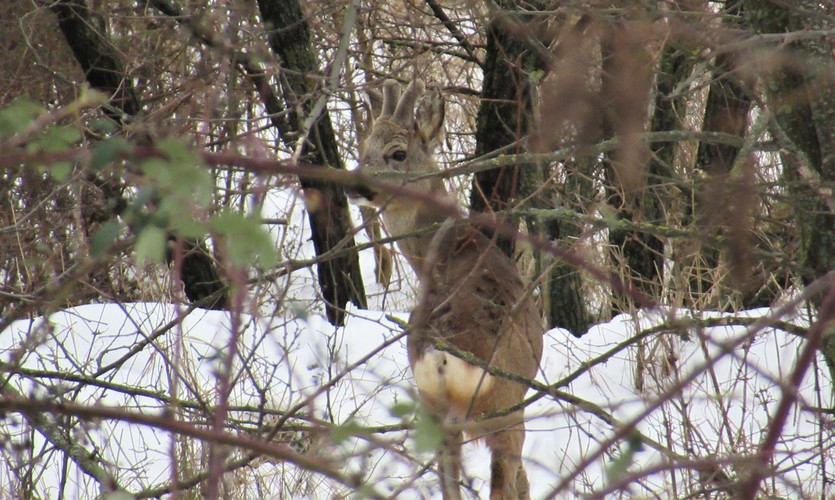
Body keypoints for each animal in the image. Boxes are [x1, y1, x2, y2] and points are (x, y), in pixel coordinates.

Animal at [344, 80, 544, 498]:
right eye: (365, 148)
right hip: (505, 409)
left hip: (433, 414)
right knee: (505, 480)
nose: (355, 185)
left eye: (397, 153)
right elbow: (521, 481)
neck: (452, 246)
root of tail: (443, 358)